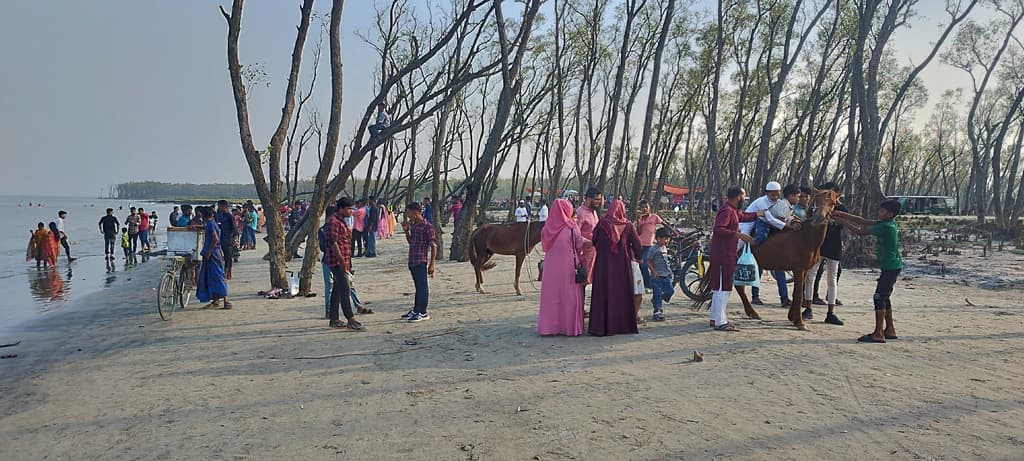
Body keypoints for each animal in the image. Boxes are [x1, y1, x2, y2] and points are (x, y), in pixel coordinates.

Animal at [737, 189, 839, 329]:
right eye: (817, 201)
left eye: (832, 203)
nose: (820, 218)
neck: (806, 237)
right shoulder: (798, 269)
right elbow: (799, 294)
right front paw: (800, 322)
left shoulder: (804, 270)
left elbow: (797, 293)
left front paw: (792, 317)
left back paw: (752, 313)